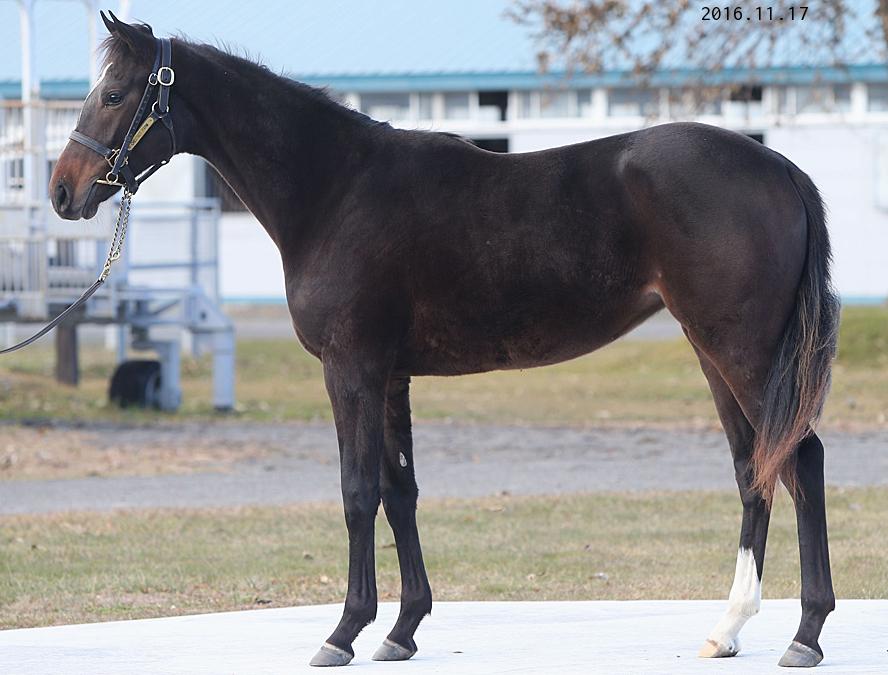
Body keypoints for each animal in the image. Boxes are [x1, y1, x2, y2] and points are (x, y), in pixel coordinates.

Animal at [48, 15, 840, 672]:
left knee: (799, 460)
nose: (62, 191)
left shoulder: (352, 370)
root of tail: (779, 167)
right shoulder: (392, 376)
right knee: (754, 467)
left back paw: (805, 634)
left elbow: (357, 491)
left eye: (114, 94)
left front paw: (343, 632)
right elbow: (401, 492)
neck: (335, 189)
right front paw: (402, 630)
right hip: (715, 353)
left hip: (744, 353)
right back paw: (728, 629)